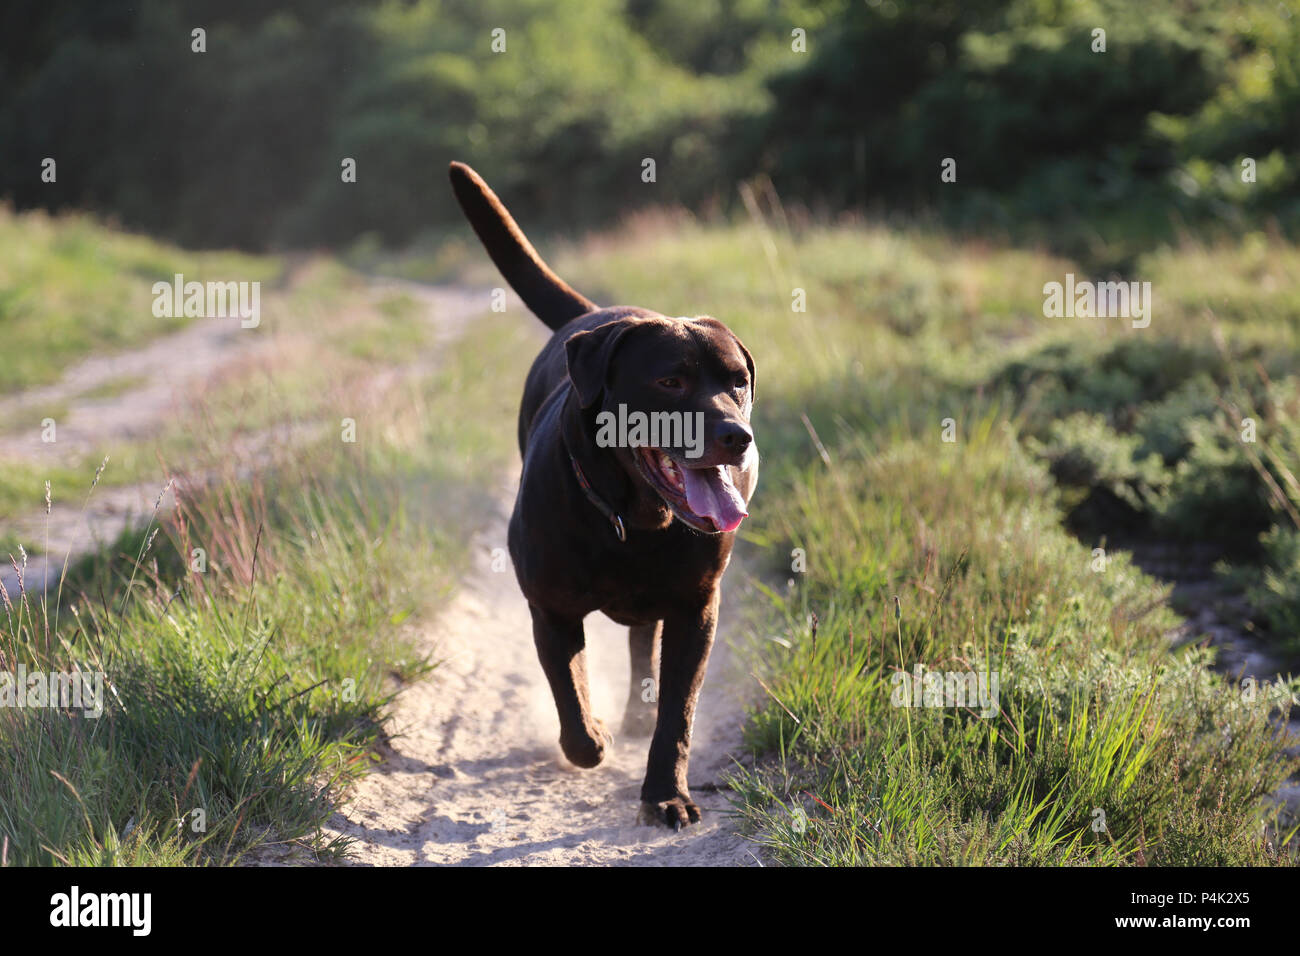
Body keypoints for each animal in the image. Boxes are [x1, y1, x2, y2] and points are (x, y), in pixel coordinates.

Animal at [447, 160, 759, 827]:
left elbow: (678, 714)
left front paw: (665, 792)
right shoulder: (551, 609)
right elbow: (569, 689)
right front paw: (590, 740)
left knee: (643, 643)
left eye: (738, 382)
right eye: (671, 381)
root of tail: (598, 313)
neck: (635, 520)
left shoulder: (697, 608)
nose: (737, 436)